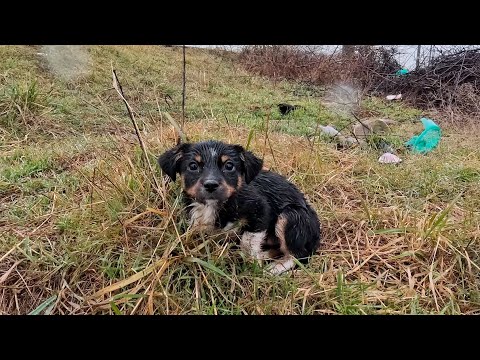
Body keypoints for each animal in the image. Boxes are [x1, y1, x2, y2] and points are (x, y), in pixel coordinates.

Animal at [158, 141, 322, 276]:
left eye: (229, 166)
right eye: (193, 166)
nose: (211, 185)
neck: (214, 204)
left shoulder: (261, 210)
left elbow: (247, 240)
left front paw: (252, 264)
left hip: (292, 216)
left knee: (299, 254)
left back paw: (273, 268)